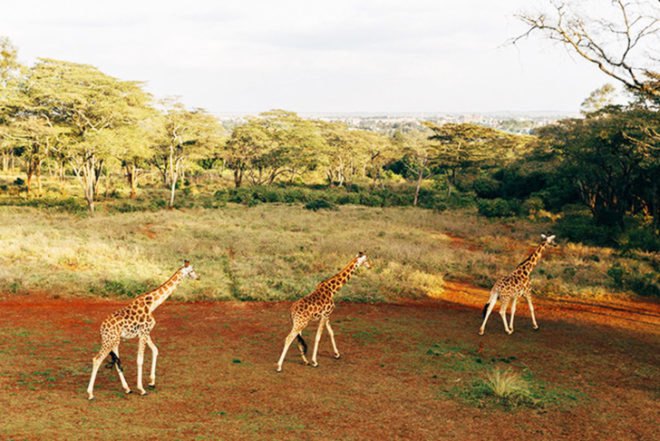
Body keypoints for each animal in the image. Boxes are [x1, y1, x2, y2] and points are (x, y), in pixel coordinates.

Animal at [86, 261, 199, 400]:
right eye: (192, 270)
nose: (197, 277)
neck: (152, 304)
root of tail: (102, 328)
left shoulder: (145, 333)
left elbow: (155, 350)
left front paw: (151, 382)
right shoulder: (143, 333)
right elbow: (140, 360)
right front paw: (142, 389)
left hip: (115, 341)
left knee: (117, 361)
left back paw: (127, 389)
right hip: (109, 340)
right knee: (97, 359)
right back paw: (90, 394)